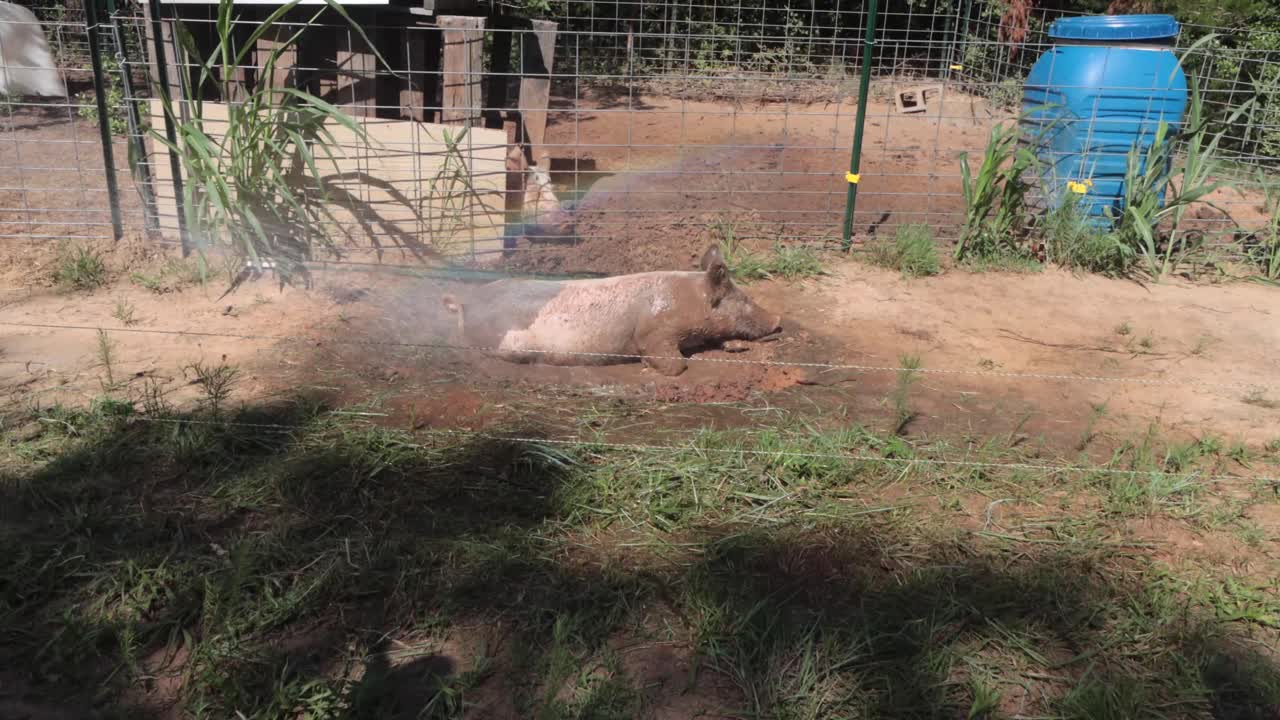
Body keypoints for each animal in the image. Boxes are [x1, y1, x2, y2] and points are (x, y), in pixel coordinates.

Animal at [440, 245, 781, 376]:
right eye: (744, 299)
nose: (778, 321)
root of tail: (466, 301)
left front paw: (735, 346)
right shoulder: (654, 333)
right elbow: (674, 364)